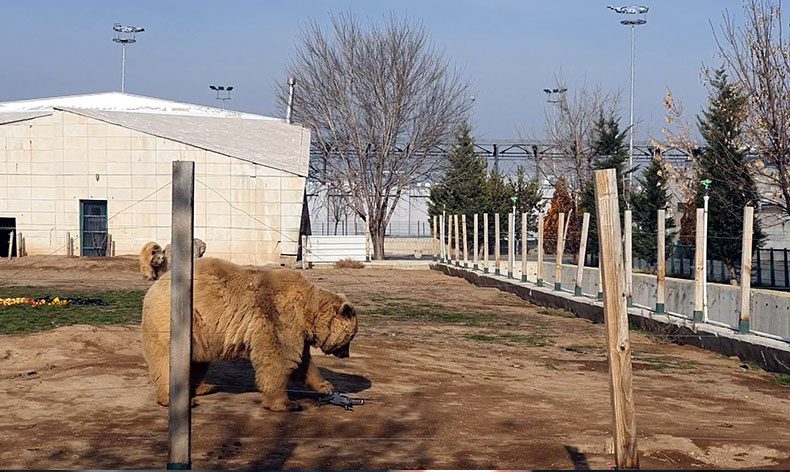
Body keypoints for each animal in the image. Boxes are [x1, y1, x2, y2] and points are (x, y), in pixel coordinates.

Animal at [141, 257, 358, 412]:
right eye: (351, 337)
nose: (346, 354)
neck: (307, 311)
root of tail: (153, 289)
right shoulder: (279, 318)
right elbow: (279, 358)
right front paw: (287, 404)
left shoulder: (297, 331)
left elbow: (304, 362)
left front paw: (326, 386)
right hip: (177, 320)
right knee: (168, 361)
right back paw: (174, 398)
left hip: (201, 333)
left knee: (197, 362)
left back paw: (203, 387)